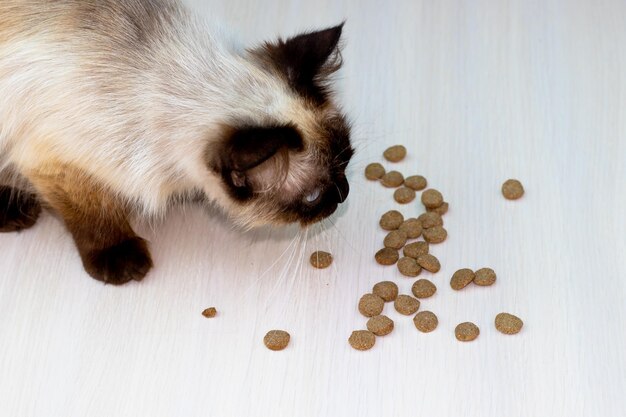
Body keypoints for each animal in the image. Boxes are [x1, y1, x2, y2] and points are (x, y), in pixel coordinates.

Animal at [0, 0, 352, 284]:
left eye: (347, 158)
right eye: (313, 198)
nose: (344, 193)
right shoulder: (56, 164)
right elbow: (95, 216)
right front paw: (121, 259)